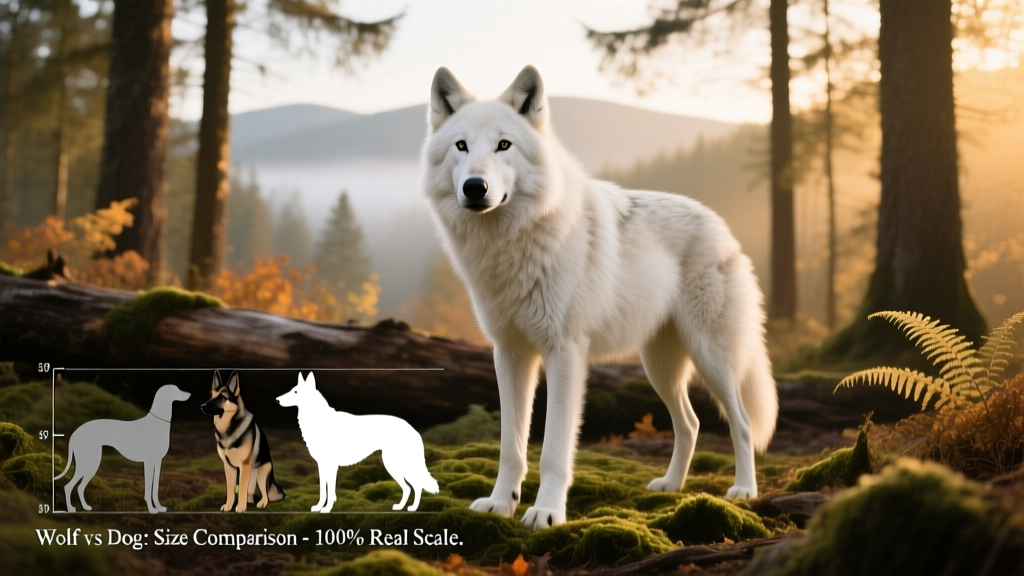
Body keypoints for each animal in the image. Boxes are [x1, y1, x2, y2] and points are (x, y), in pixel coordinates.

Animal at [55, 384, 191, 513]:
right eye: (176, 389)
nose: (189, 394)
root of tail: (75, 433)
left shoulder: (157, 462)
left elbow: (155, 488)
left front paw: (159, 507)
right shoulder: (148, 462)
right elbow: (148, 489)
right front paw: (151, 509)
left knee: (80, 487)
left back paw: (86, 507)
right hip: (89, 464)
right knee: (69, 486)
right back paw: (71, 509)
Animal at [201, 370, 286, 513]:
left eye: (222, 397)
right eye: (211, 395)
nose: (202, 406)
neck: (229, 428)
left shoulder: (244, 465)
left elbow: (242, 489)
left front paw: (240, 507)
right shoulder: (228, 467)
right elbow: (230, 490)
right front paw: (229, 506)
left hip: (262, 472)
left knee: (265, 494)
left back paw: (261, 503)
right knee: (250, 492)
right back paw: (250, 501)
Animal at [277, 372, 439, 513]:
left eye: (295, 392)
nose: (277, 399)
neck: (320, 420)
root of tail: (413, 429)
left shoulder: (331, 466)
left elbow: (330, 490)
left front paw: (327, 509)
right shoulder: (322, 466)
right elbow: (324, 490)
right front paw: (319, 507)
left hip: (395, 465)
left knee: (416, 485)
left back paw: (412, 508)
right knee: (409, 487)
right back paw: (400, 507)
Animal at [422, 65, 778, 530]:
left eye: (504, 145)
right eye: (461, 146)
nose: (475, 187)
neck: (512, 243)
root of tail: (724, 227)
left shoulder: (565, 353)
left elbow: (554, 450)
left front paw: (546, 512)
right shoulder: (510, 354)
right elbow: (510, 448)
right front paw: (501, 504)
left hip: (711, 358)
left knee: (743, 423)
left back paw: (744, 490)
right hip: (659, 367)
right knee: (691, 423)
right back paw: (671, 485)